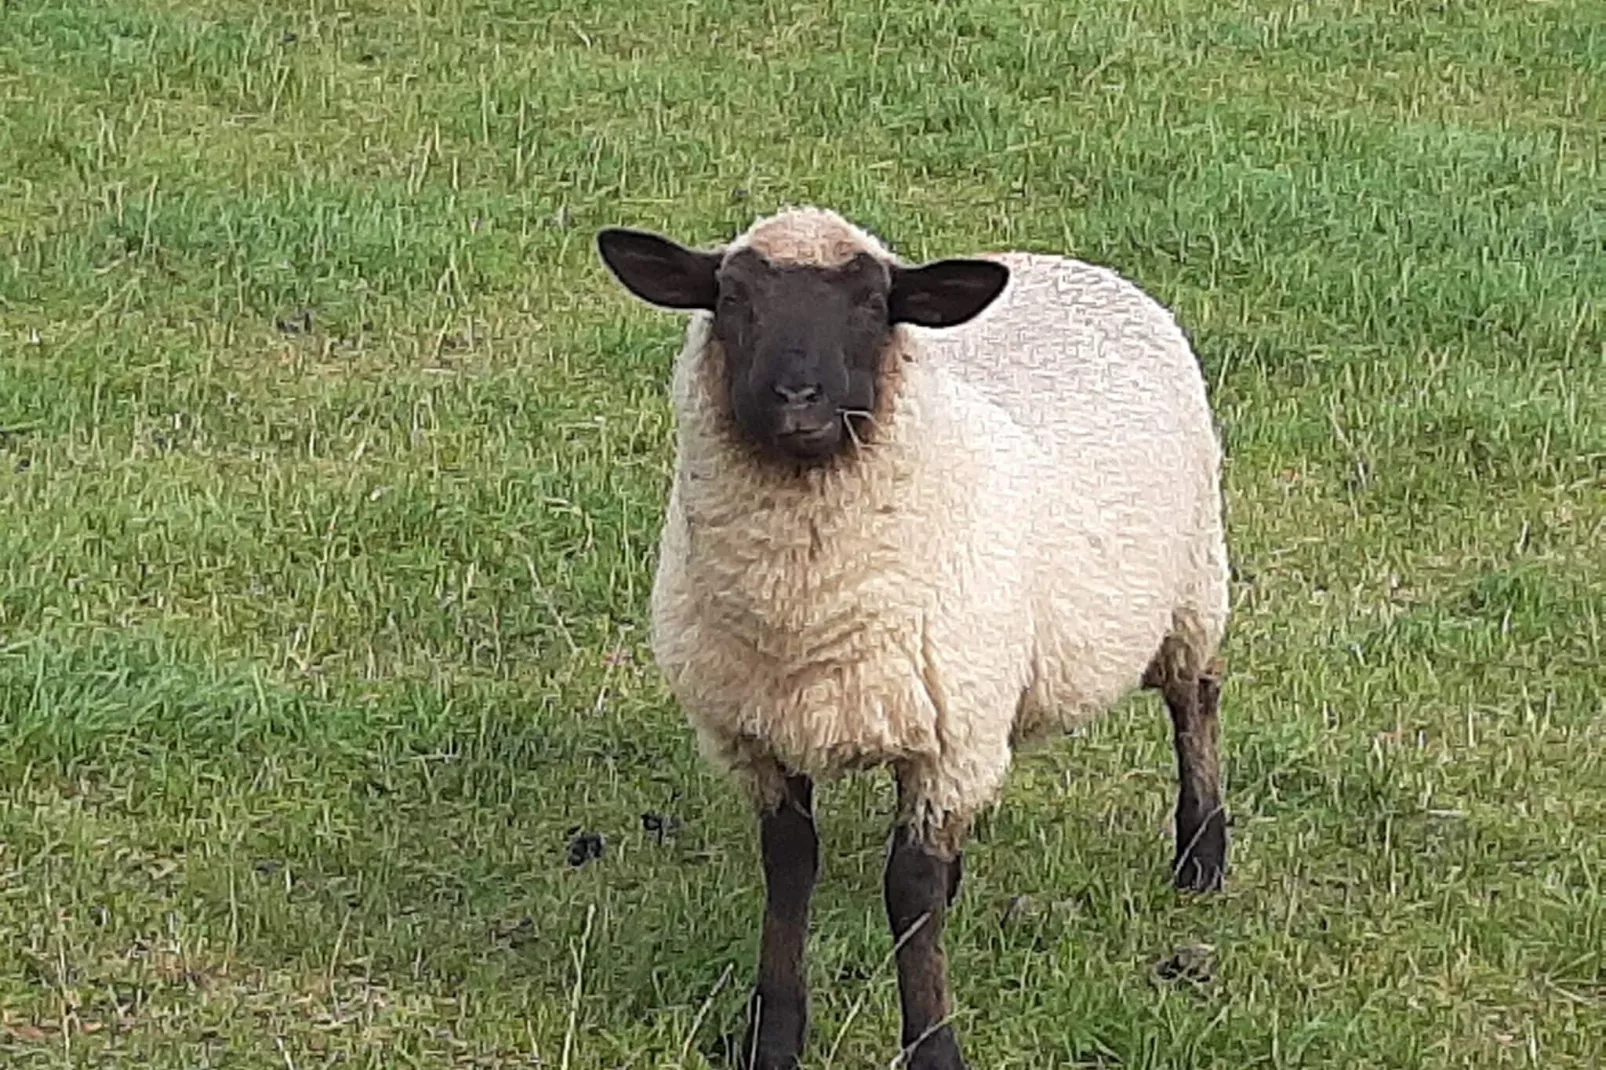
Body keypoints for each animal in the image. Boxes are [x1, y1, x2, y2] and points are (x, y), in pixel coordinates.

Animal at [597, 208, 1233, 1066]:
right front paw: (776, 1032)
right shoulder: (758, 736)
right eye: (731, 297)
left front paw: (933, 1043)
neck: (807, 614)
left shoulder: (947, 740)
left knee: (1195, 699)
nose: (797, 398)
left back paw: (1202, 856)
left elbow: (910, 894)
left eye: (873, 303)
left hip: (1191, 587)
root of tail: (1066, 261)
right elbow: (790, 869)